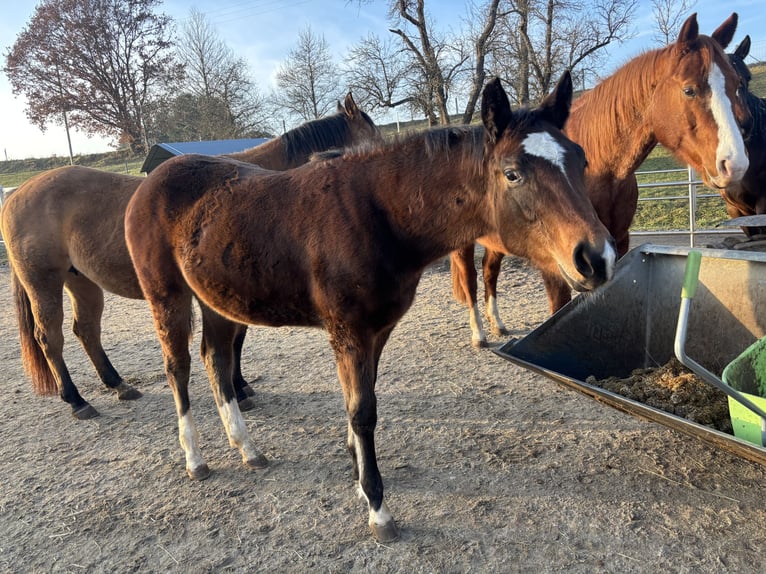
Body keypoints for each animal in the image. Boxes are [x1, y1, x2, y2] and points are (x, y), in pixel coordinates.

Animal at [0, 93, 381, 420]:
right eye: (374, 135)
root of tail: (17, 192)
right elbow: (232, 342)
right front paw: (237, 390)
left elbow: (236, 340)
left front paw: (240, 387)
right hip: (43, 282)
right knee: (50, 337)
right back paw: (77, 401)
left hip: (82, 282)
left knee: (87, 331)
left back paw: (118, 385)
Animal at [124, 72, 616, 542]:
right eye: (512, 173)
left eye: (581, 160)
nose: (597, 258)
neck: (379, 215)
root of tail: (149, 183)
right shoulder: (350, 332)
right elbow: (363, 412)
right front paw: (378, 509)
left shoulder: (377, 330)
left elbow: (359, 402)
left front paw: (359, 477)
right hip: (167, 296)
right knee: (179, 367)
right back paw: (195, 458)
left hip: (217, 301)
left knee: (217, 361)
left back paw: (247, 448)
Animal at [450, 12, 751, 347]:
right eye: (689, 90)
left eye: (738, 85)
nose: (735, 164)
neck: (601, 172)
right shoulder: (555, 264)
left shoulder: (615, 245)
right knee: (470, 279)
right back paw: (479, 334)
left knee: (490, 272)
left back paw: (498, 324)